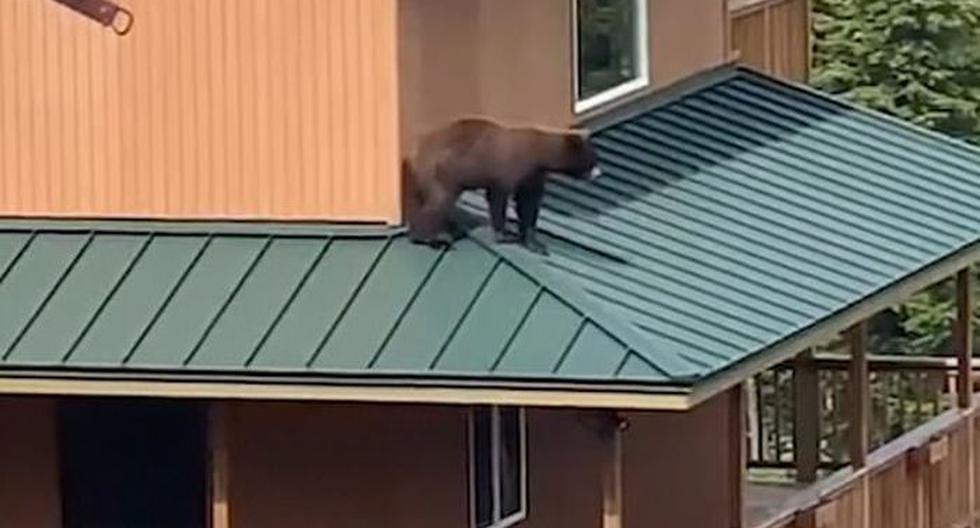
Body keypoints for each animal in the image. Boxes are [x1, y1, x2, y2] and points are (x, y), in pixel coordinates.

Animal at [402, 116, 600, 256]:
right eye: (593, 158)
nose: (599, 172)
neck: (537, 156)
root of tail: (415, 154)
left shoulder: (532, 176)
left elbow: (528, 205)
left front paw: (535, 243)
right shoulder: (507, 167)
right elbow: (499, 198)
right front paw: (503, 235)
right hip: (442, 172)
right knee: (438, 201)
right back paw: (432, 237)